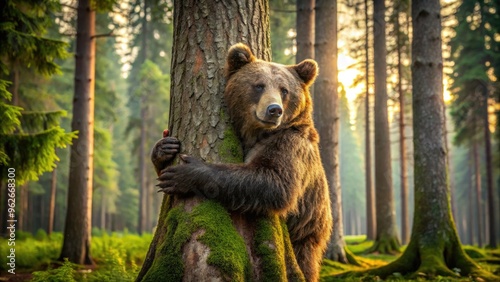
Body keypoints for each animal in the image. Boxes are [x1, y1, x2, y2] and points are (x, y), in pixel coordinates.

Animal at [152, 43, 332, 280]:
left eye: (284, 90)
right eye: (259, 85)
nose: (274, 110)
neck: (257, 133)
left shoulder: (291, 146)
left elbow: (274, 182)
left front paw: (185, 173)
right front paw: (163, 147)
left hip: (306, 233)